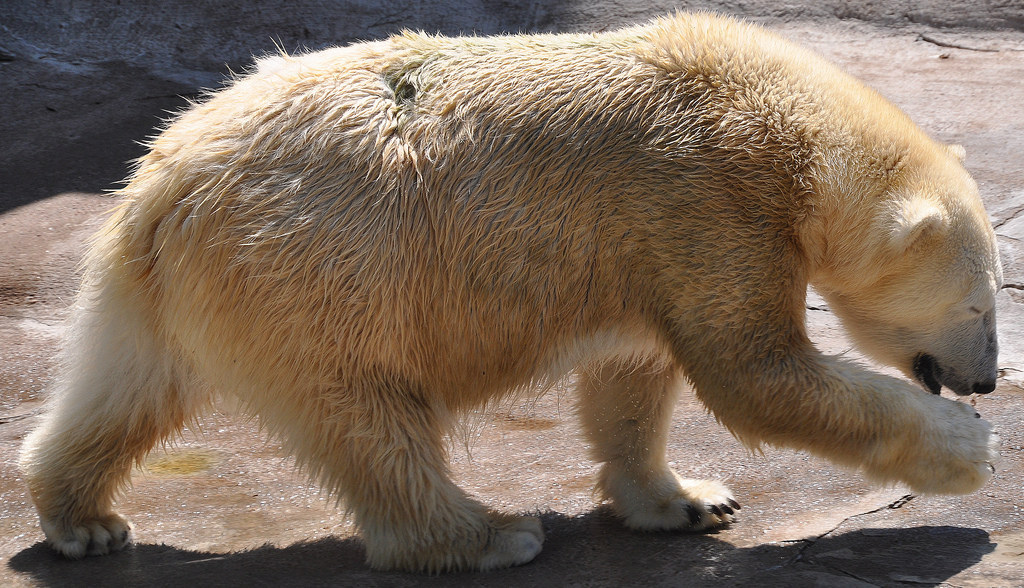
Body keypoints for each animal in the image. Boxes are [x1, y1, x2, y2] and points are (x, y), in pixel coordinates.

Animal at [22, 12, 999, 577]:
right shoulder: (710, 198)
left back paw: (82, 517)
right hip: (320, 270)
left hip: (172, 282)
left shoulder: (649, 238)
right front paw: (967, 451)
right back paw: (489, 536)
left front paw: (687, 498)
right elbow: (755, 374)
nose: (987, 380)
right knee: (366, 414)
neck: (782, 121)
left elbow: (632, 373)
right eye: (982, 308)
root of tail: (166, 185)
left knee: (126, 385)